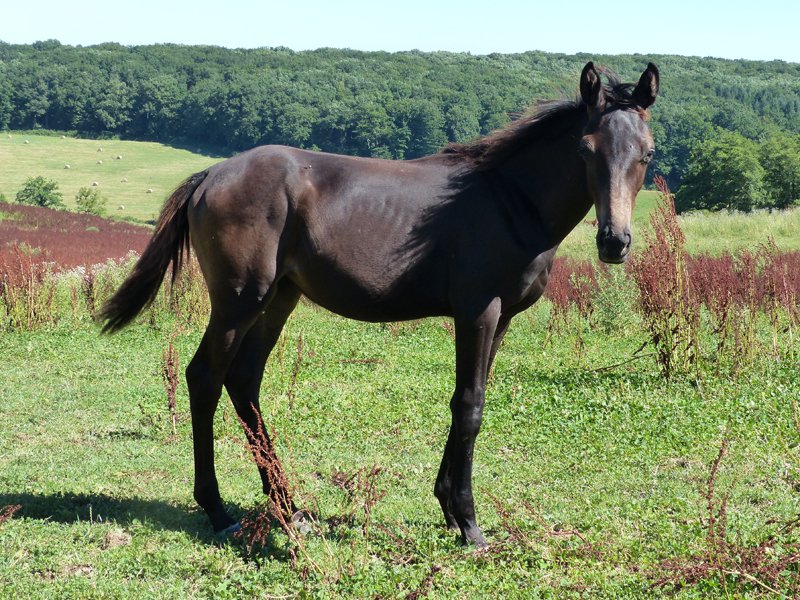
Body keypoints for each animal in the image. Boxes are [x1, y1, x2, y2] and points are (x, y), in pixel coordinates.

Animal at [100, 62, 659, 547]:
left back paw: (290, 508)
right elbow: (470, 405)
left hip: (279, 299)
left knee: (244, 381)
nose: (614, 243)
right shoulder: (478, 311)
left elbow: (466, 401)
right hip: (240, 300)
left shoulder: (500, 320)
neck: (509, 202)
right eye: (585, 149)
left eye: (648, 154)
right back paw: (219, 512)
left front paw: (447, 507)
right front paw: (469, 524)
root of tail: (211, 174)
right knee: (205, 377)